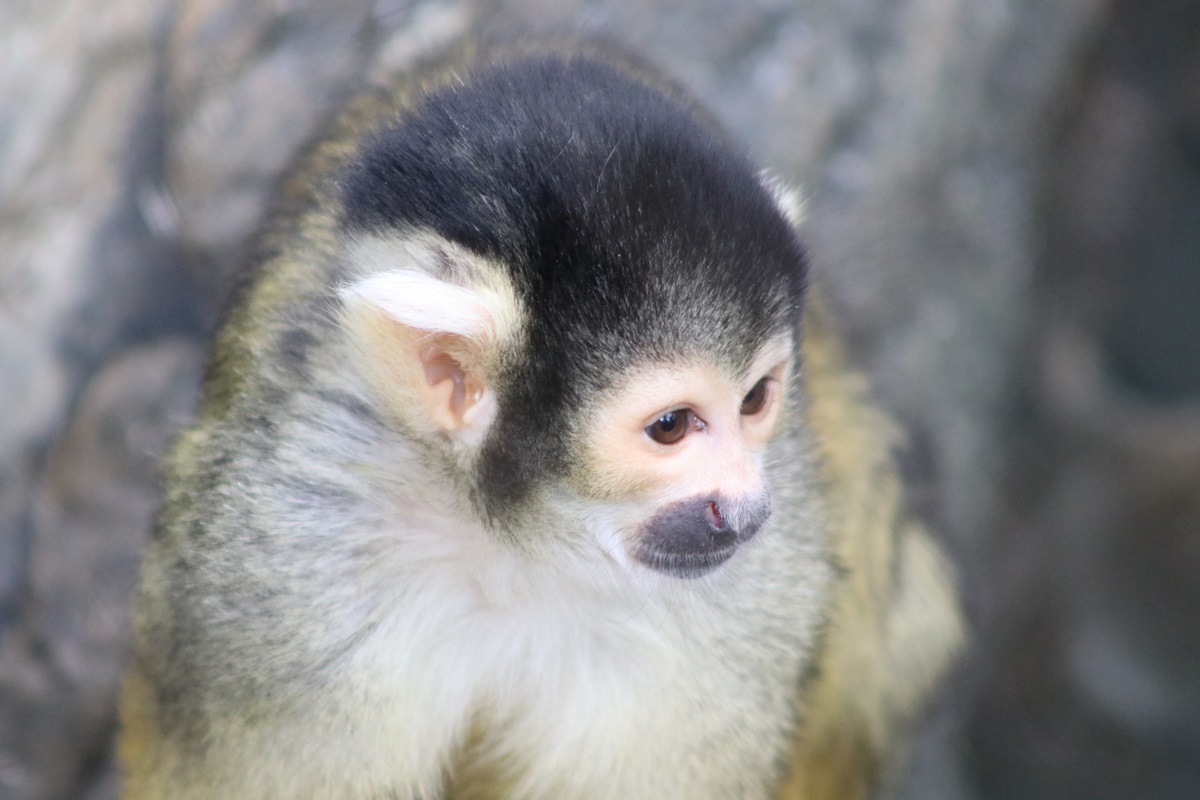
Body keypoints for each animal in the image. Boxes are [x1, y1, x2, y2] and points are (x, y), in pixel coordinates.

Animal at [118, 40, 963, 800]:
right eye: (672, 426)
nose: (748, 510)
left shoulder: (742, 606)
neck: (518, 542)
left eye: (755, 400)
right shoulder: (286, 570)